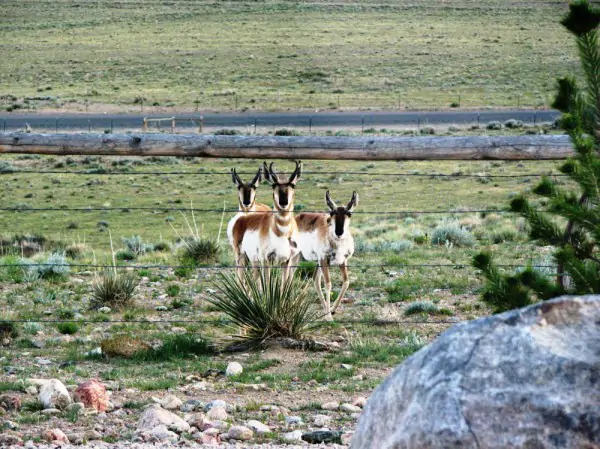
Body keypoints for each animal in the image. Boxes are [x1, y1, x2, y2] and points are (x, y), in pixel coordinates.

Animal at [294, 191, 356, 320]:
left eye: (349, 213)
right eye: (332, 213)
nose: (339, 232)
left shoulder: (342, 261)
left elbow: (346, 282)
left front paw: (332, 310)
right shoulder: (324, 260)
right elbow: (328, 284)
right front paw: (329, 317)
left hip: (316, 262)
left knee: (315, 280)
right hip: (295, 258)